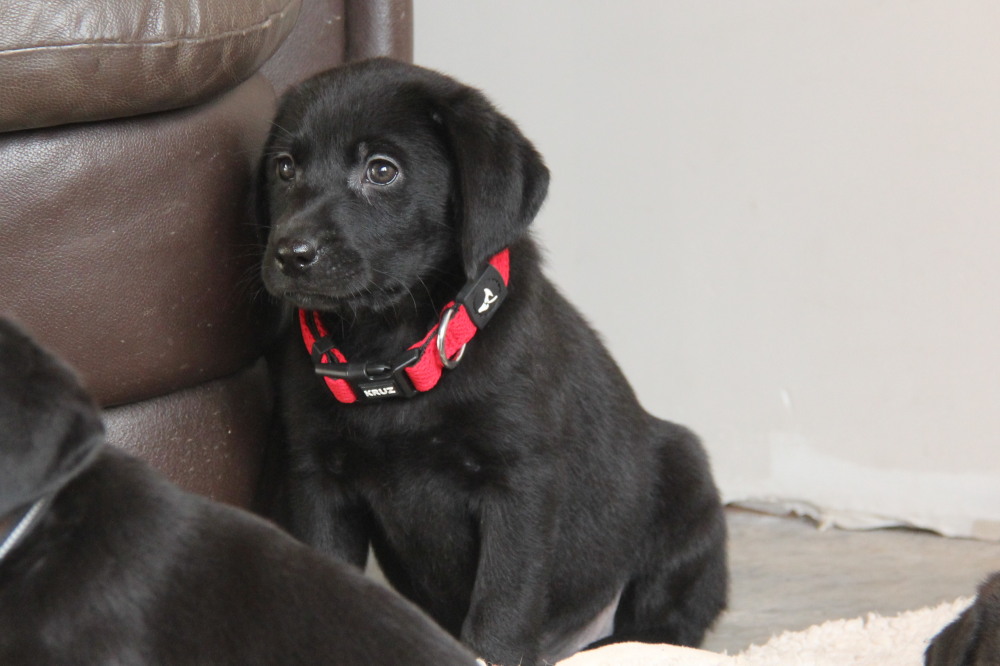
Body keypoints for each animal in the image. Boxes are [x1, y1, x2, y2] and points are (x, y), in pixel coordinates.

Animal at [258, 57, 728, 664]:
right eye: (285, 168)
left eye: (382, 171)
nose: (291, 254)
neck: (392, 352)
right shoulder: (318, 479)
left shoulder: (519, 481)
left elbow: (503, 601)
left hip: (687, 486)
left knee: (664, 626)